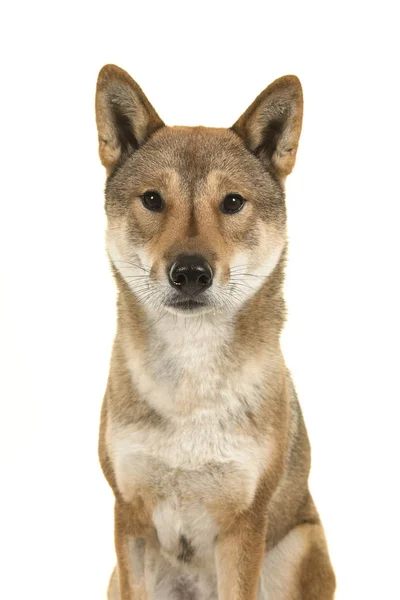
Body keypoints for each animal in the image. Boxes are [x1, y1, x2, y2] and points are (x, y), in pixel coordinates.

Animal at [95, 63, 336, 596]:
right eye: (152, 200)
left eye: (232, 202)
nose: (190, 272)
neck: (190, 390)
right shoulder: (128, 516)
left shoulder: (244, 523)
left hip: (298, 547)